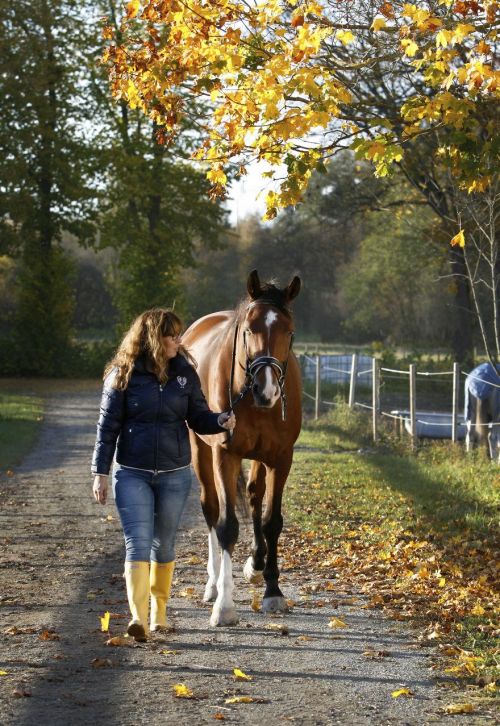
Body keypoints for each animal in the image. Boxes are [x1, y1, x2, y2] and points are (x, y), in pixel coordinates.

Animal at [183, 270, 300, 628]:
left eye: (289, 331)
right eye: (249, 329)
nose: (267, 391)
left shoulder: (280, 457)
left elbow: (271, 520)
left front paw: (273, 591)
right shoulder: (226, 454)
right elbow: (227, 525)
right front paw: (225, 605)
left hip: (260, 457)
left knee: (253, 494)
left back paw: (256, 563)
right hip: (201, 451)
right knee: (211, 508)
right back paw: (212, 585)